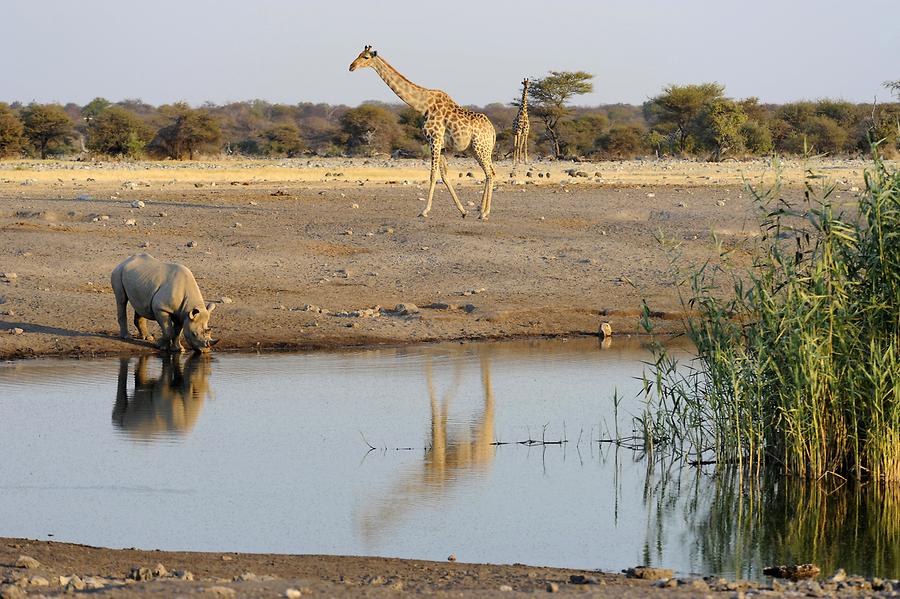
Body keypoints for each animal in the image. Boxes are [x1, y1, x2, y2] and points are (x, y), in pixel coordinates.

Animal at [348, 45, 496, 220]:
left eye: (365, 57)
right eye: (358, 54)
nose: (351, 66)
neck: (423, 105)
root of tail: (493, 131)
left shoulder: (434, 139)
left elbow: (432, 175)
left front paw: (424, 211)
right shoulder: (441, 145)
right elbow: (444, 176)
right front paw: (462, 211)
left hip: (480, 147)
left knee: (489, 173)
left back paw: (484, 213)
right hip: (476, 149)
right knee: (490, 172)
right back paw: (481, 210)